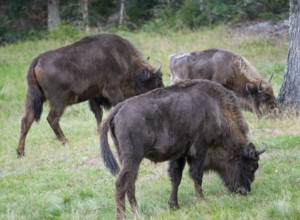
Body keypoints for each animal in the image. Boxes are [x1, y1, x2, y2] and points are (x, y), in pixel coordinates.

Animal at [16, 33, 164, 156]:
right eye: (157, 80)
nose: (160, 96)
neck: (122, 58)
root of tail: (37, 61)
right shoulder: (112, 90)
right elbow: (115, 106)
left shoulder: (95, 95)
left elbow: (98, 113)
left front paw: (99, 131)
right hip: (59, 100)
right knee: (52, 118)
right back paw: (65, 141)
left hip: (32, 98)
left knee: (26, 121)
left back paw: (20, 152)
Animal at [101, 79, 268, 220]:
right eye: (252, 167)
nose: (245, 191)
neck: (216, 109)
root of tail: (118, 109)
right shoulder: (200, 149)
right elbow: (197, 175)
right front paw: (201, 200)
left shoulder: (180, 154)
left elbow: (176, 178)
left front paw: (174, 205)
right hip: (133, 158)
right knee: (121, 184)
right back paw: (122, 216)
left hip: (127, 158)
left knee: (131, 184)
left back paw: (138, 214)